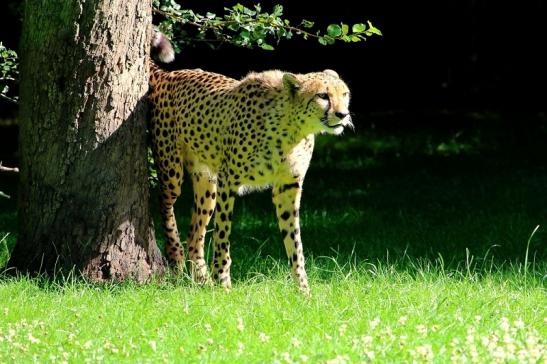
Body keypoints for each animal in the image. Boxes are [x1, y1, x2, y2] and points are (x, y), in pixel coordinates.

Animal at [148, 29, 354, 294]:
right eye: (322, 96)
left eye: (344, 94)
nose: (343, 114)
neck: (292, 131)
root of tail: (169, 74)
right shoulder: (229, 182)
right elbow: (223, 235)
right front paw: (223, 282)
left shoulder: (287, 187)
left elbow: (295, 243)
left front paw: (303, 291)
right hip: (172, 169)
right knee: (165, 205)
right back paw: (176, 258)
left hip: (207, 183)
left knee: (195, 235)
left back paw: (202, 282)